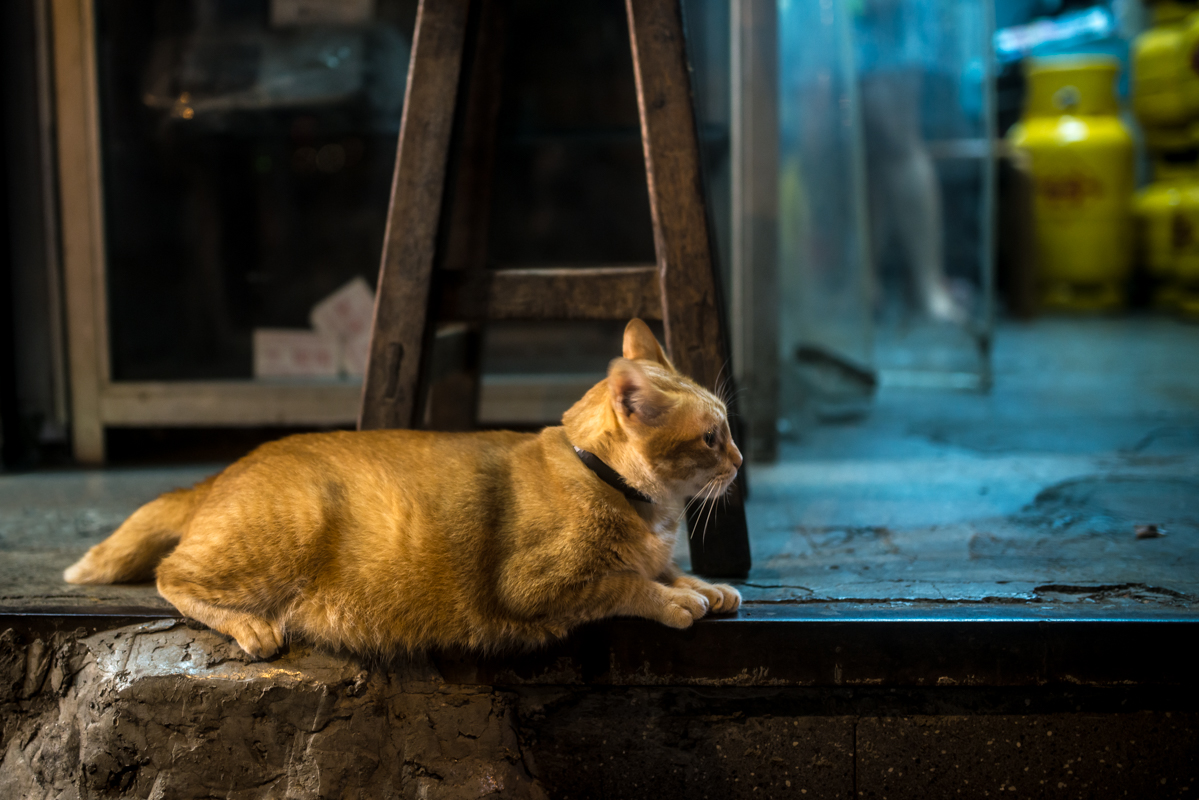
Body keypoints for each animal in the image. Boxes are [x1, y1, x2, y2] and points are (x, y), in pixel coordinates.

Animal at [65, 319, 743, 657]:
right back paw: (250, 627)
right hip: (282, 538)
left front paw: (703, 585)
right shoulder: (538, 586)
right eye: (712, 437)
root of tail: (224, 471)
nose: (739, 460)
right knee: (172, 577)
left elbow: (664, 568)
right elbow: (625, 583)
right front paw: (675, 599)